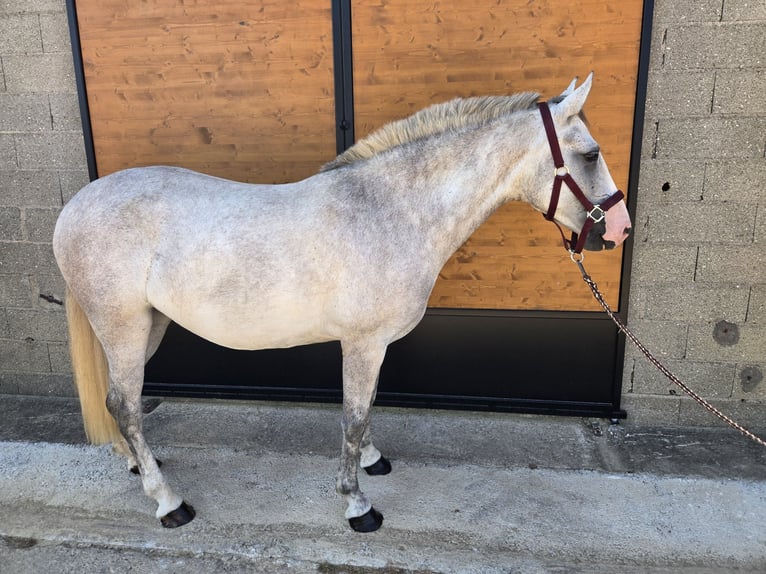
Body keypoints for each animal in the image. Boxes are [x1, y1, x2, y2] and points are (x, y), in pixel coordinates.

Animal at [53, 74, 632, 532]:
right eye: (590, 154)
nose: (620, 231)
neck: (389, 210)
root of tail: (75, 206)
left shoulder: (373, 345)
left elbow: (368, 407)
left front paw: (373, 462)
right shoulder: (363, 342)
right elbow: (353, 417)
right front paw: (358, 506)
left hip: (149, 326)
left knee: (121, 404)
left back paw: (138, 466)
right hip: (124, 326)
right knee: (125, 405)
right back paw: (168, 501)